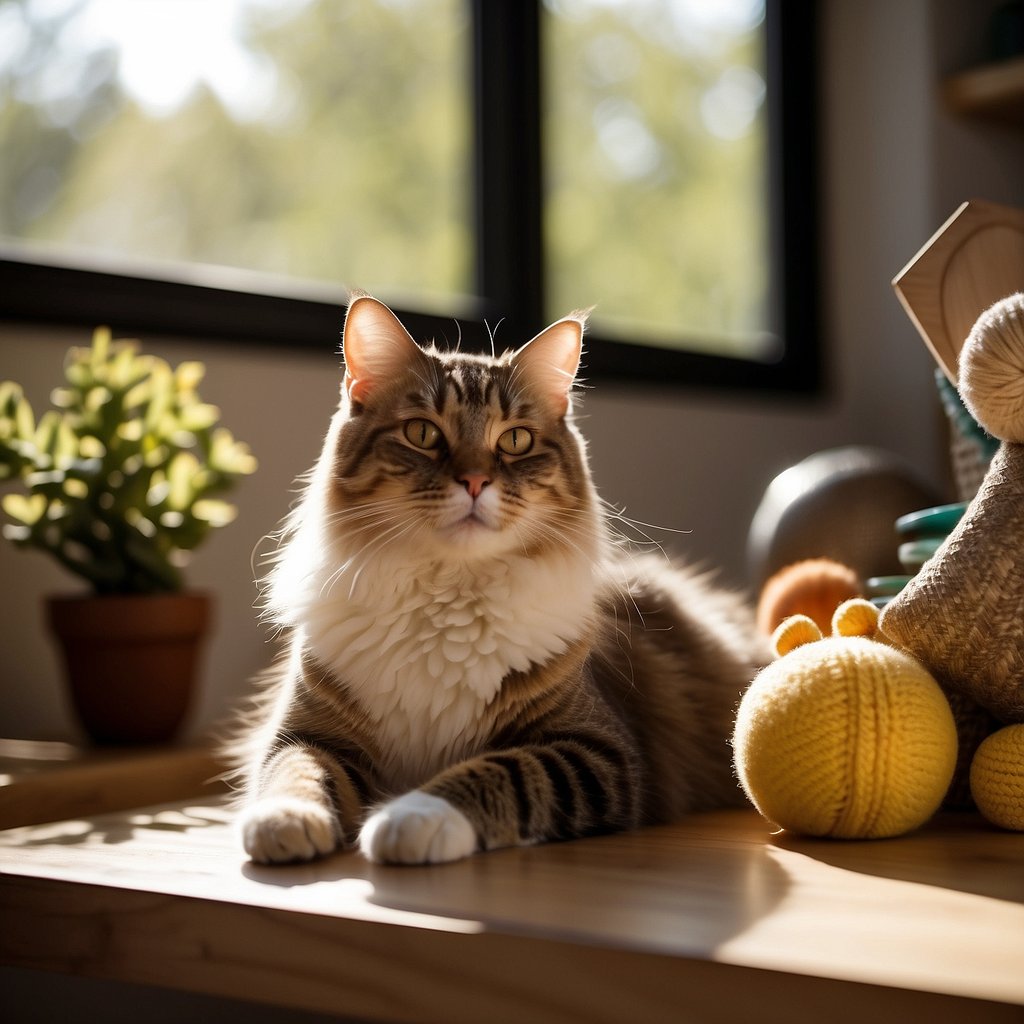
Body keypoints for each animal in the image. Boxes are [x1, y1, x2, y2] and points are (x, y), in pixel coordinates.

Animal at [235, 294, 765, 864]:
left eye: (515, 440)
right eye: (422, 433)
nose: (474, 482)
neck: (445, 595)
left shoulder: (597, 750)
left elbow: (501, 773)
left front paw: (410, 818)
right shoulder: (306, 734)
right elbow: (293, 774)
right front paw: (285, 823)